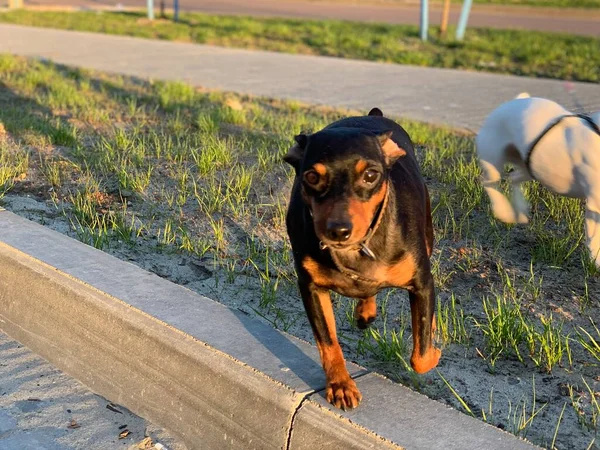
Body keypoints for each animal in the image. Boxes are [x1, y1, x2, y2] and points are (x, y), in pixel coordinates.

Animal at [284, 107, 438, 410]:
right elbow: (328, 342)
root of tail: (373, 114)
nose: (338, 230)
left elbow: (421, 357)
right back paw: (365, 311)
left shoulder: (422, 283)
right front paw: (340, 385)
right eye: (311, 177)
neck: (356, 249)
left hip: (428, 236)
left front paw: (434, 348)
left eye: (370, 175)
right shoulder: (310, 288)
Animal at [474, 92, 600, 266]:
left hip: (531, 166)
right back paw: (503, 210)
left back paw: (519, 210)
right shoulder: (595, 202)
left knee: (513, 178)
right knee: (489, 182)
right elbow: (595, 238)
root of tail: (515, 101)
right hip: (494, 161)